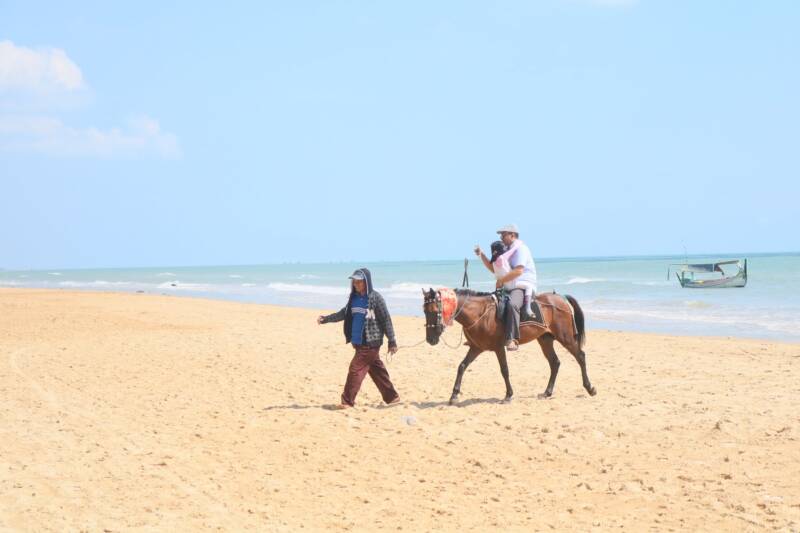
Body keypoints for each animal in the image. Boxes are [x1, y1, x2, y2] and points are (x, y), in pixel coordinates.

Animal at [422, 288, 596, 406]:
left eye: (434, 310)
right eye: (424, 311)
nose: (430, 339)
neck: (480, 313)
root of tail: (561, 298)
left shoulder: (499, 348)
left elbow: (504, 370)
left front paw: (508, 395)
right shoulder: (476, 348)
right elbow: (462, 366)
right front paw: (454, 395)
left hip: (565, 337)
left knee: (580, 356)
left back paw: (590, 388)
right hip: (545, 340)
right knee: (555, 363)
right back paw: (547, 392)